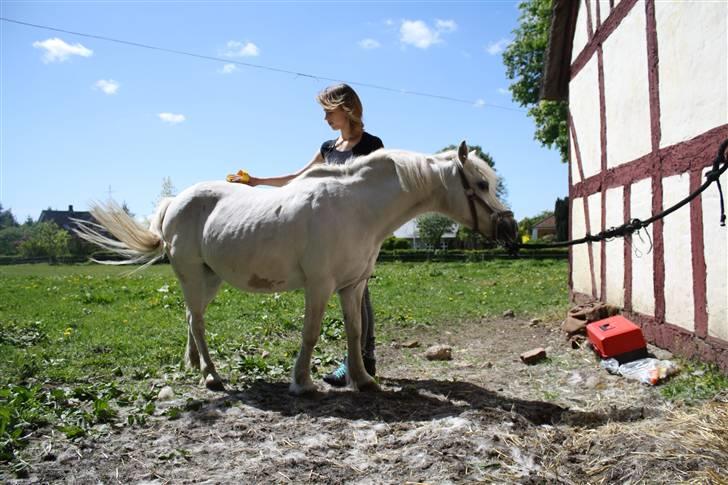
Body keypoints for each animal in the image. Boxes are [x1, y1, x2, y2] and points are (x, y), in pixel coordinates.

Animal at [74, 140, 516, 394]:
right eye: (479, 185)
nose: (509, 227)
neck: (357, 209)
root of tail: (174, 202)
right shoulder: (319, 286)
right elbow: (311, 333)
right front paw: (301, 383)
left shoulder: (352, 286)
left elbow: (356, 332)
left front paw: (363, 380)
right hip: (194, 277)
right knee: (198, 325)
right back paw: (212, 377)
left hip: (208, 280)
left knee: (189, 320)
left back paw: (196, 366)